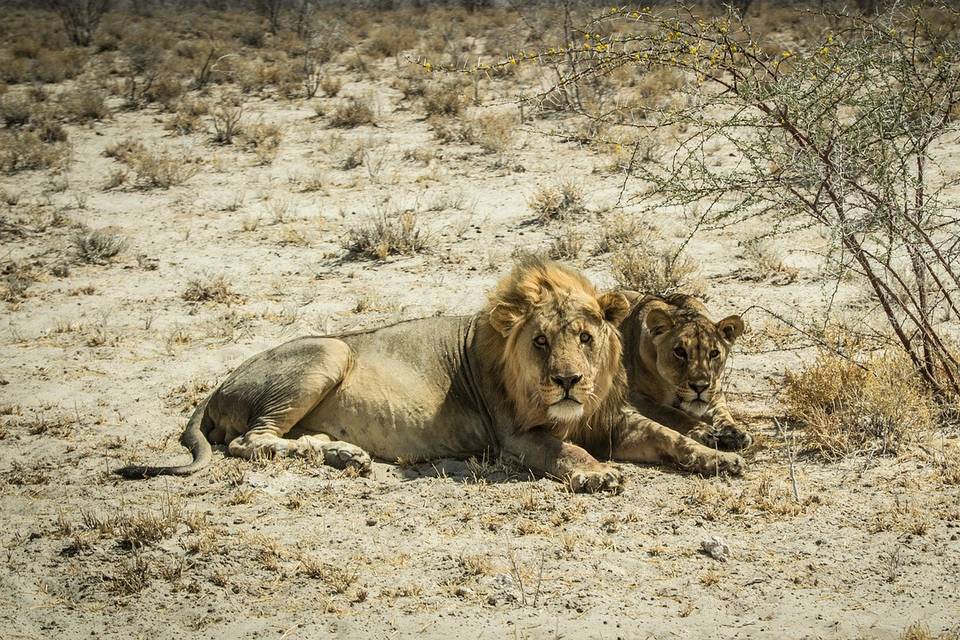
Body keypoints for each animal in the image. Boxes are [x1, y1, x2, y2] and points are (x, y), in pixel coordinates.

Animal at [620, 294, 752, 450]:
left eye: (714, 353)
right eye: (680, 352)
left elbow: (722, 413)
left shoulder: (715, 393)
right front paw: (703, 431)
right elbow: (672, 413)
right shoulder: (634, 396)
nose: (700, 387)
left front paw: (735, 432)